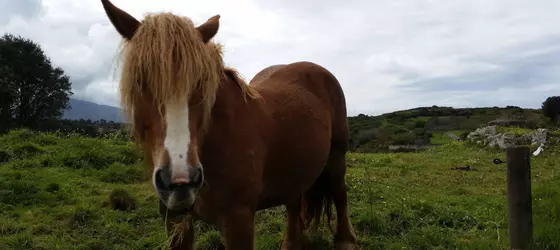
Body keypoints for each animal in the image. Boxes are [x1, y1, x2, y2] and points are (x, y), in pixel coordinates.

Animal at [99, 0, 358, 249]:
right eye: (140, 79)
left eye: (202, 82)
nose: (181, 180)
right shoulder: (174, 219)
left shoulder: (239, 221)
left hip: (336, 159)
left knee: (340, 194)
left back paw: (346, 241)